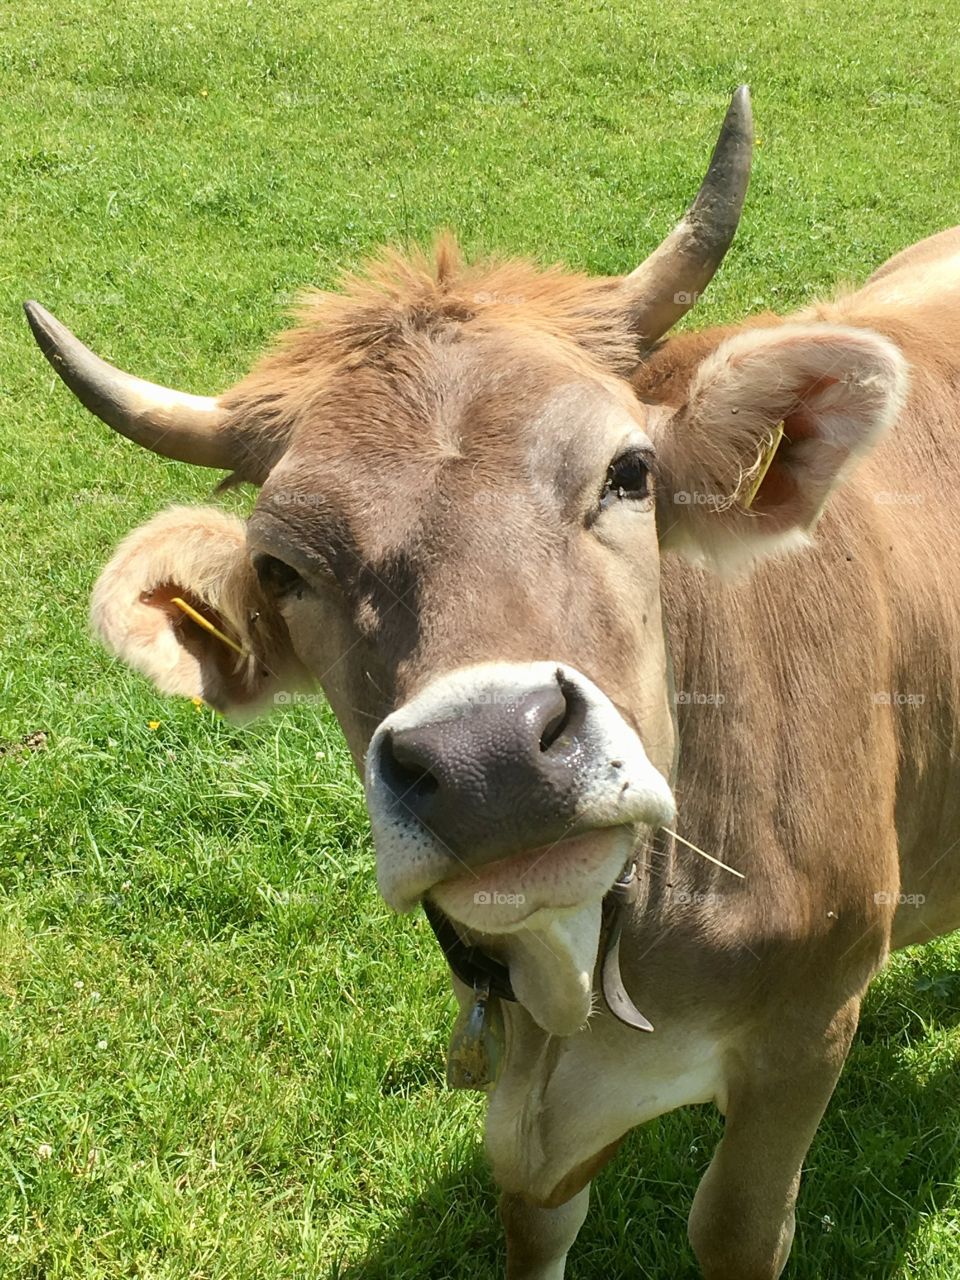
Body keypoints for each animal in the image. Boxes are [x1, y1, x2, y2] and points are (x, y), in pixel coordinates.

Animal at [24, 86, 960, 1278]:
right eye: (281, 568)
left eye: (630, 471)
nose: (491, 760)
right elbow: (537, 1217)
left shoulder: (809, 1024)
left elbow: (736, 1227)